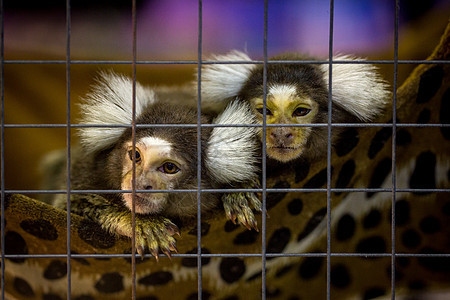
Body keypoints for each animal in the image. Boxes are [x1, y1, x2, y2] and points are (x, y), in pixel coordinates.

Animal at [46, 72, 260, 258]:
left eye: (169, 168)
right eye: (135, 156)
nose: (139, 183)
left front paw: (239, 189)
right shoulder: (84, 170)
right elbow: (70, 203)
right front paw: (143, 224)